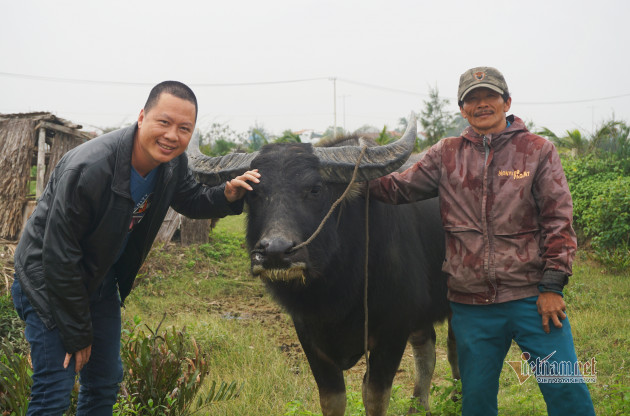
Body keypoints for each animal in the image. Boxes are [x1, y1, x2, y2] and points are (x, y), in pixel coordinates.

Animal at [188, 118, 460, 416]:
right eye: (253, 193)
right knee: (426, 349)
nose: (274, 251)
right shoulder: (308, 332)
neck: (336, 286)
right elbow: (332, 399)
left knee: (454, 348)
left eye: (315, 189)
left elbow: (375, 397)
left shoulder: (393, 328)